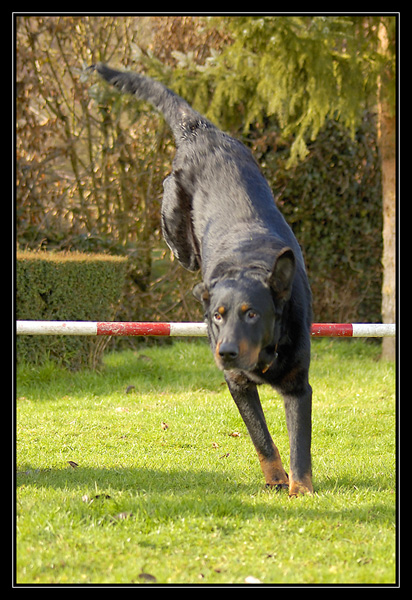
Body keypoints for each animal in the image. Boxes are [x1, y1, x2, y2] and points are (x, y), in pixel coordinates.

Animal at [92, 64, 312, 496]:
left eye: (252, 314)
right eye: (217, 316)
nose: (224, 351)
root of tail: (200, 129)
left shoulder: (299, 384)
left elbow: (300, 444)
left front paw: (301, 490)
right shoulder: (236, 382)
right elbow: (262, 437)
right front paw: (276, 480)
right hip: (178, 229)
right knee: (175, 219)